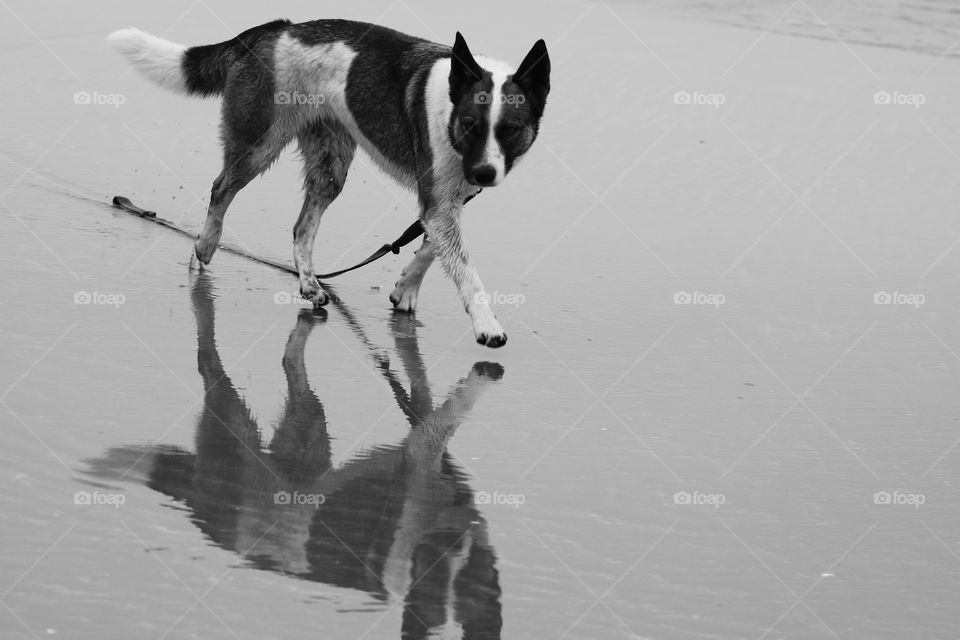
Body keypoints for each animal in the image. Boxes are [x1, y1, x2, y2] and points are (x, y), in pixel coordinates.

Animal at [106, 20, 552, 348]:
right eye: (470, 124)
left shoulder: (448, 200)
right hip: (259, 143)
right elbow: (464, 268)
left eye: (510, 130)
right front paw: (486, 324)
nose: (485, 174)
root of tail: (276, 29)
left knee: (302, 227)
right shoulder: (440, 200)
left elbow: (430, 245)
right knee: (221, 189)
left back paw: (308, 283)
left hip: (329, 164)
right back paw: (205, 246)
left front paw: (406, 288)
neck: (450, 105)